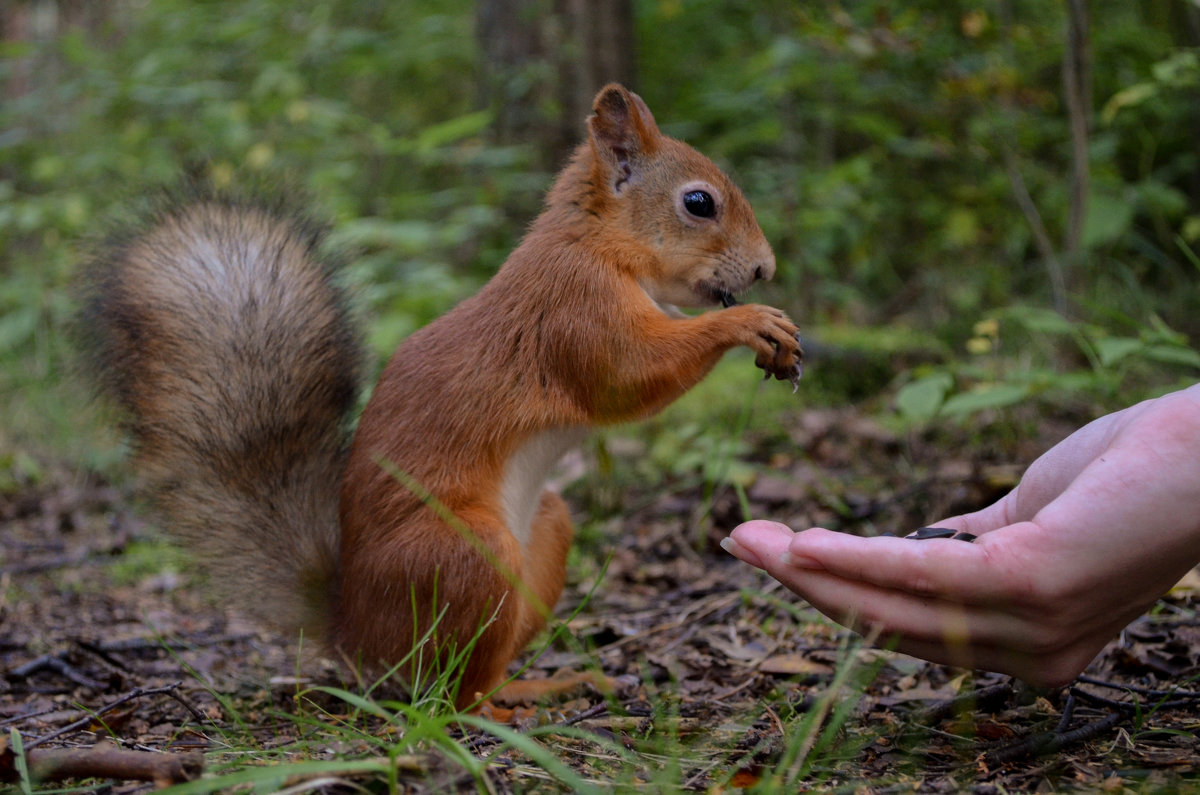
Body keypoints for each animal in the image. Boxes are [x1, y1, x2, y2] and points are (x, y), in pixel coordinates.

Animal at [82, 84, 796, 710]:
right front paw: (749, 323)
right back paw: (507, 710)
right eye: (699, 202)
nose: (766, 268)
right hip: (465, 554)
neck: (597, 243)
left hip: (541, 534)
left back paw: (541, 686)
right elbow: (627, 378)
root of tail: (354, 630)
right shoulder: (573, 310)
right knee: (453, 698)